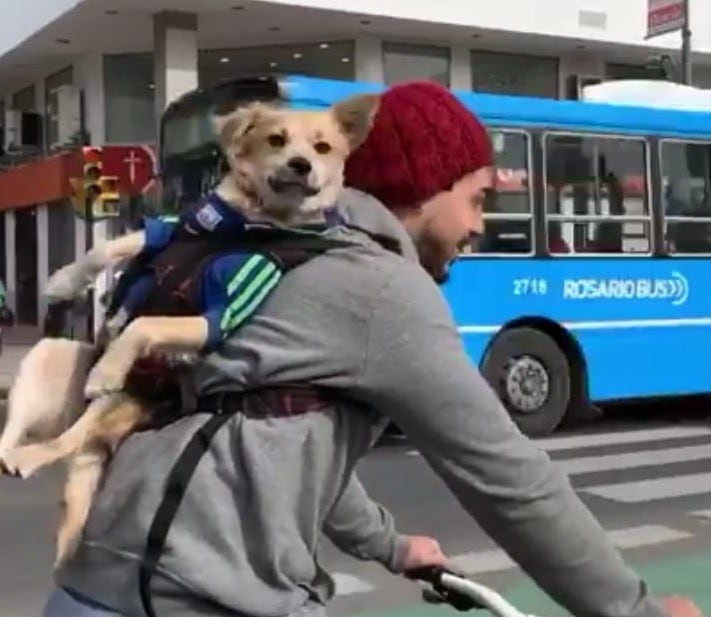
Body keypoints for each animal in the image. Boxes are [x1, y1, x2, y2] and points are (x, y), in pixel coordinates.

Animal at [0, 92, 378, 568]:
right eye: (276, 139)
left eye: (323, 147)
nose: (300, 165)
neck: (246, 223)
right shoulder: (169, 230)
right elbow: (108, 248)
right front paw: (64, 281)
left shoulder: (222, 309)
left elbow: (146, 323)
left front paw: (109, 368)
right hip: (50, 357)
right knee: (38, 433)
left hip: (108, 406)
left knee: (65, 442)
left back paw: (40, 445)